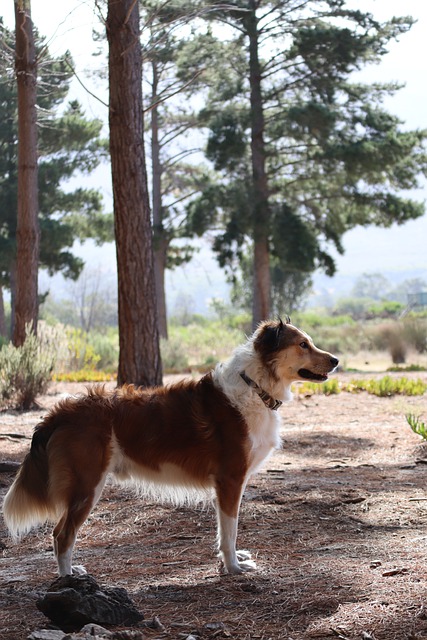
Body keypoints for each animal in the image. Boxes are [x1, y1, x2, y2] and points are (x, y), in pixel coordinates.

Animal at [2, 318, 338, 576]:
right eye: (303, 344)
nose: (336, 361)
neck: (254, 387)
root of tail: (62, 411)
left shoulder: (226, 485)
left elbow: (223, 531)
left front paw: (229, 561)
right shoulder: (230, 480)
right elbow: (230, 530)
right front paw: (232, 568)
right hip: (87, 486)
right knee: (61, 535)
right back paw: (67, 577)